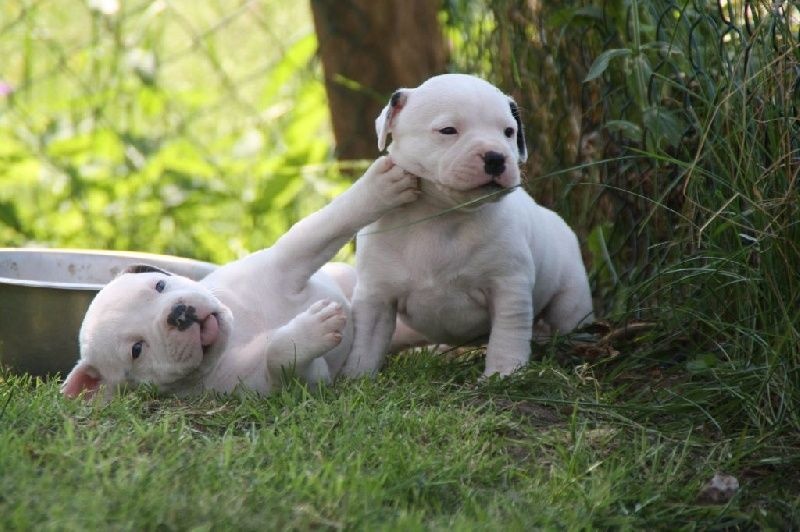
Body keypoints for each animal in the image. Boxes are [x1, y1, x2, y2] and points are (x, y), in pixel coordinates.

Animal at [62, 157, 418, 400]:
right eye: (137, 350)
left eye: (159, 286)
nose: (179, 314)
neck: (237, 334)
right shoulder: (282, 385)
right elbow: (279, 357)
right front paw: (312, 330)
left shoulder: (283, 262)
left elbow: (321, 228)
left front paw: (381, 187)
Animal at [344, 74, 592, 378]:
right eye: (448, 130)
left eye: (509, 132)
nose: (496, 157)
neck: (440, 215)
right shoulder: (376, 295)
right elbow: (367, 341)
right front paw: (357, 377)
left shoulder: (509, 287)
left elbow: (507, 334)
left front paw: (504, 374)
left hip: (571, 297)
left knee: (568, 317)